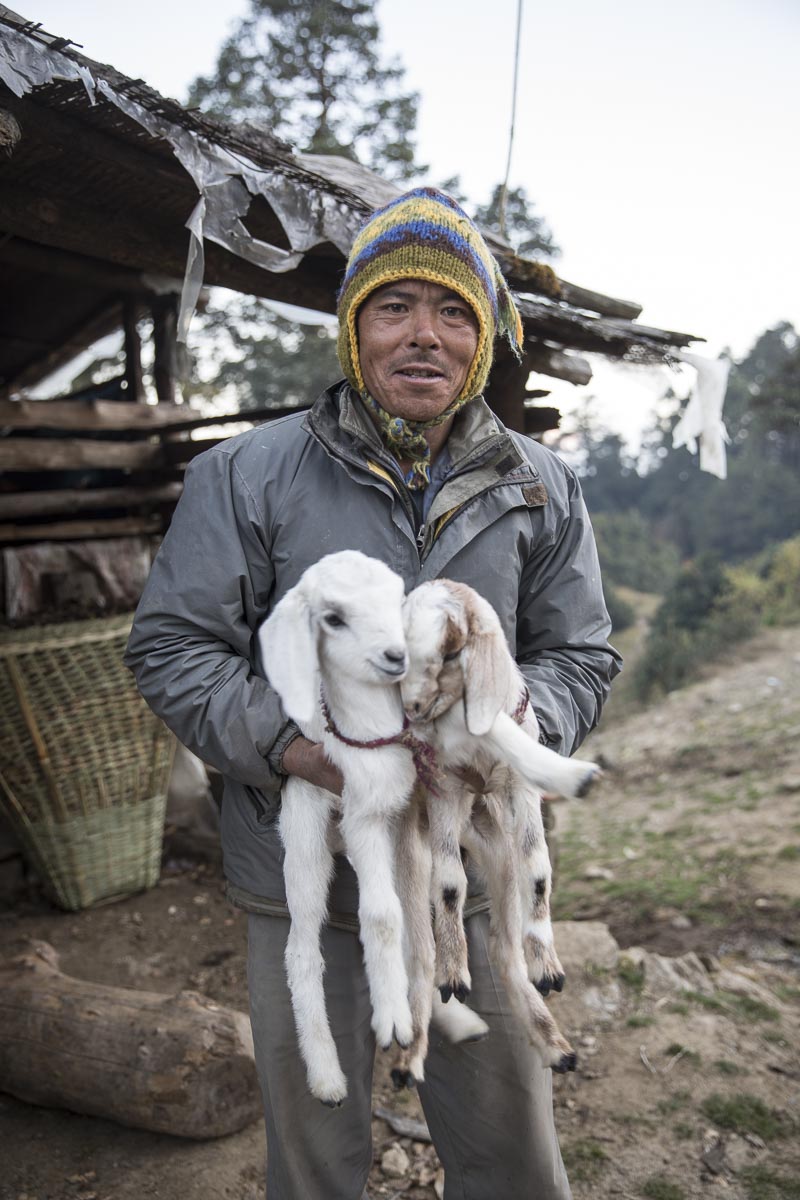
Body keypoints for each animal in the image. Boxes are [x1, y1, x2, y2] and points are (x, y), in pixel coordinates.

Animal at [394, 579, 600, 1081]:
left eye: (451, 654)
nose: (412, 710)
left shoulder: (518, 787)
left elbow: (539, 869)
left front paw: (549, 965)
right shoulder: (444, 786)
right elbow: (450, 885)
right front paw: (455, 972)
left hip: (499, 860)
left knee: (504, 948)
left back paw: (554, 1044)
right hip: (411, 855)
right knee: (419, 955)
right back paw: (412, 1054)